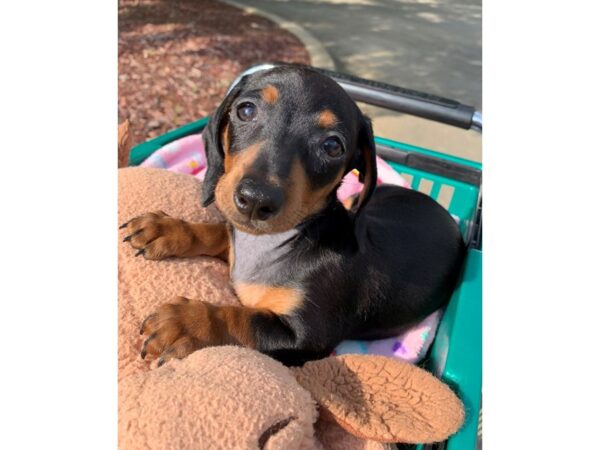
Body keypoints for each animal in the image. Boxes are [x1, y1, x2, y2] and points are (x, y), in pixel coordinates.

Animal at [122, 65, 464, 368]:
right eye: (246, 111)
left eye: (332, 146)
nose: (255, 200)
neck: (274, 242)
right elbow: (218, 230)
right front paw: (166, 229)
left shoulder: (305, 337)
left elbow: (243, 319)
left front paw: (189, 322)